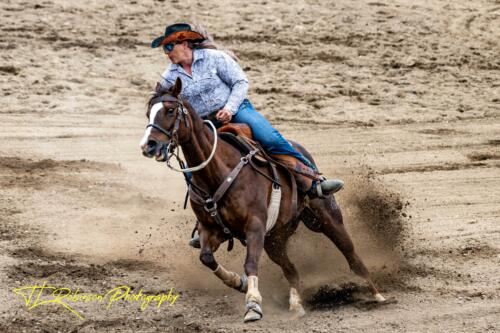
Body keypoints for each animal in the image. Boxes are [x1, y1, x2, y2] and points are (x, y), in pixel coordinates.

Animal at [141, 78, 386, 322]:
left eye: (170, 110)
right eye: (148, 113)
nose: (148, 145)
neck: (218, 171)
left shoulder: (255, 225)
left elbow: (250, 263)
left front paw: (253, 305)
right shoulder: (211, 229)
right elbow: (206, 257)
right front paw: (238, 282)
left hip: (327, 218)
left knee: (350, 254)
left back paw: (376, 293)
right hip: (274, 240)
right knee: (290, 269)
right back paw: (296, 304)